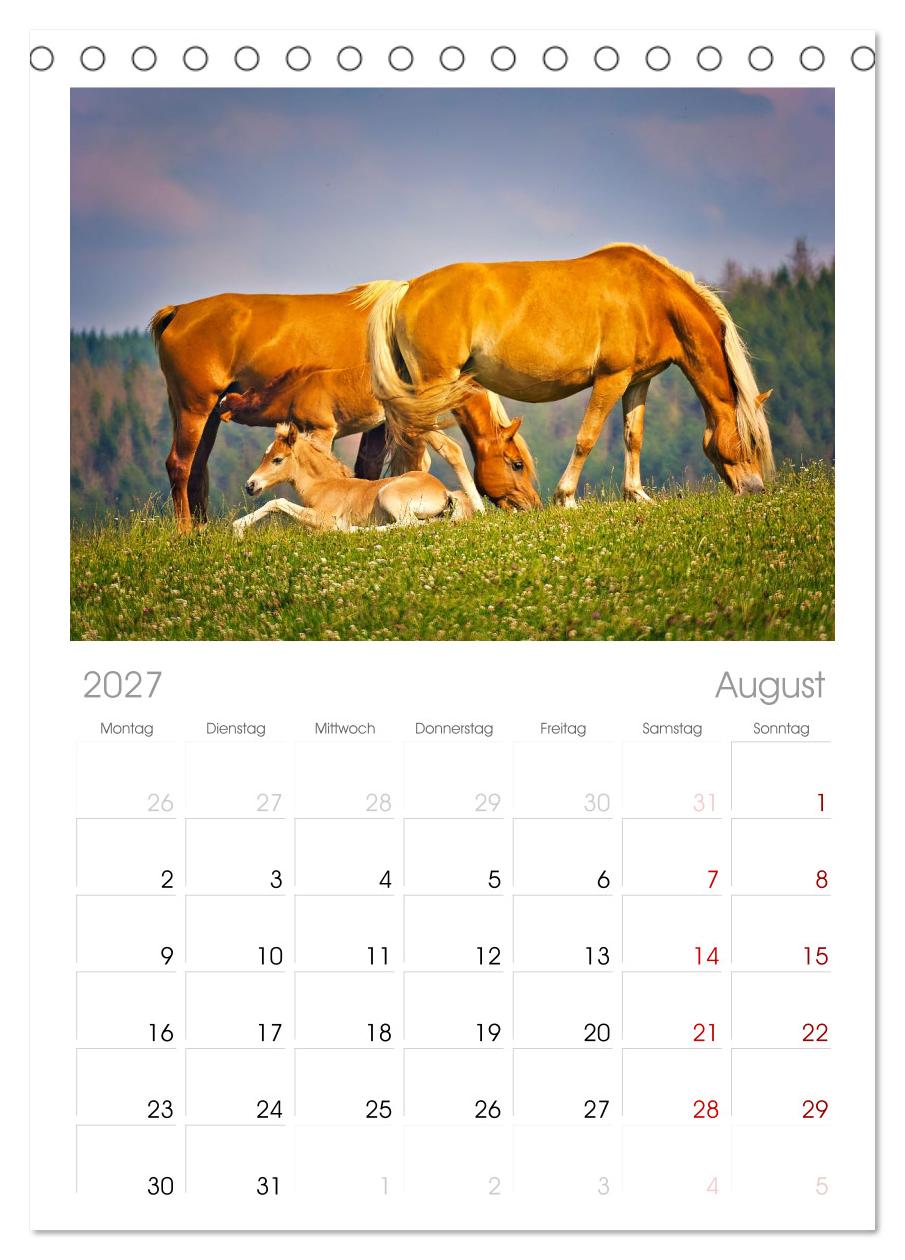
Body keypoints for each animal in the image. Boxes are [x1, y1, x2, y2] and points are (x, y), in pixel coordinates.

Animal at [218, 362, 497, 516]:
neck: (297, 391)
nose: (250, 486)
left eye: (276, 459)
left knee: (451, 449)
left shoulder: (322, 430)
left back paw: (479, 508)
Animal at [234, 423, 474, 536]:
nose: (250, 485)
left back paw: (351, 529)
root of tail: (444, 490)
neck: (325, 485)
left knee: (409, 524)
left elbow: (278, 502)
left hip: (387, 495)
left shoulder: (322, 518)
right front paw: (239, 528)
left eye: (277, 459)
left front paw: (238, 529)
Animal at [355, 244, 774, 505]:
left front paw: (636, 494)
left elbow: (633, 436)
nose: (754, 490)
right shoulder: (612, 378)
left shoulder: (638, 380)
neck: (649, 296)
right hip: (434, 386)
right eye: (750, 442)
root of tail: (408, 288)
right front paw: (566, 497)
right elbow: (587, 437)